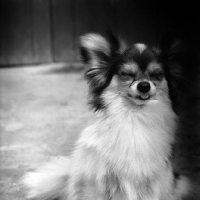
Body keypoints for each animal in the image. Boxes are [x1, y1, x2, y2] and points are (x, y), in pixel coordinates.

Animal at [21, 32, 200, 199]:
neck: (135, 115)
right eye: (126, 74)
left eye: (157, 75)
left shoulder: (151, 181)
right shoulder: (102, 179)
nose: (144, 86)